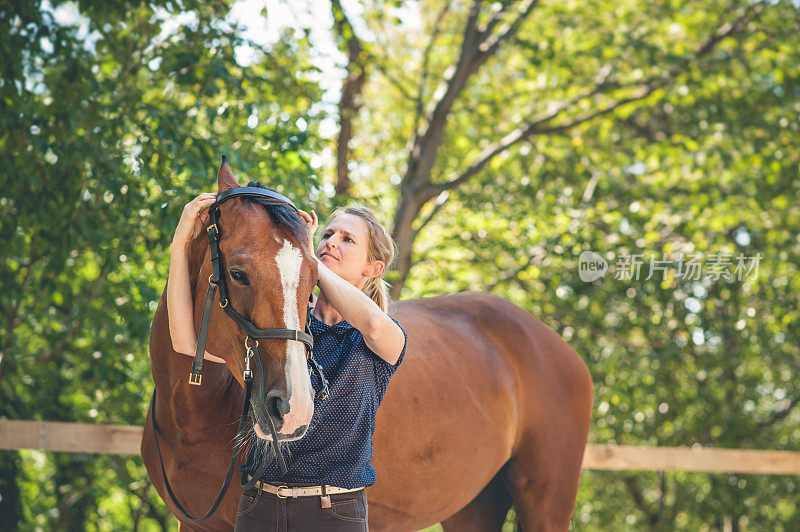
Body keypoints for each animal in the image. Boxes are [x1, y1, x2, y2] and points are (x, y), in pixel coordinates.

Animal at [142, 159, 592, 532]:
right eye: (237, 274)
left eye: (314, 278)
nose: (294, 409)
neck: (193, 410)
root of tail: (558, 345)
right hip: (474, 508)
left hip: (546, 503)